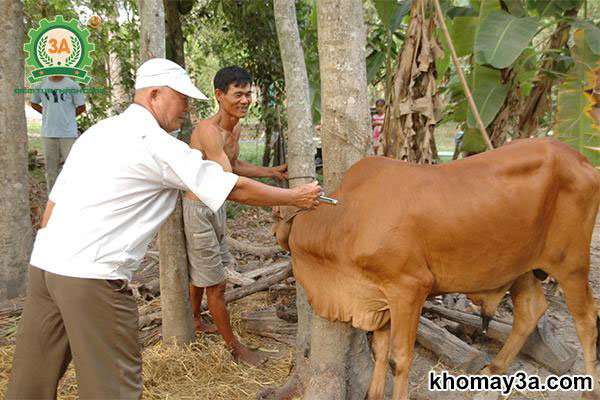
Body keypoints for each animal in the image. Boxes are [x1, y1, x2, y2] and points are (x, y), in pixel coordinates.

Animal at [276, 138, 600, 400]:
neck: (347, 218)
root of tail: (581, 160)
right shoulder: (380, 295)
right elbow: (380, 350)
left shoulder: (409, 288)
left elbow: (399, 358)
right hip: (521, 267)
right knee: (531, 311)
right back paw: (493, 369)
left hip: (571, 263)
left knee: (586, 320)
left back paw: (589, 390)